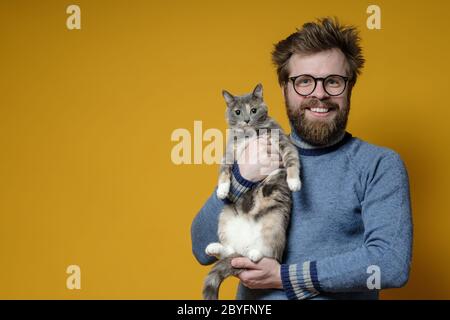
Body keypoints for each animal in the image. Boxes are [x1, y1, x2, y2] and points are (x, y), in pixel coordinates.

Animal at [202, 83, 300, 300]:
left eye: (254, 110)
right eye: (238, 112)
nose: (247, 119)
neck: (250, 134)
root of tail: (244, 247)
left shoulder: (281, 140)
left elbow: (291, 158)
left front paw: (294, 181)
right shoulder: (230, 150)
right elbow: (224, 169)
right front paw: (222, 190)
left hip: (274, 225)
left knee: (267, 254)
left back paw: (255, 253)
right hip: (225, 218)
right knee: (230, 251)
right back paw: (214, 247)